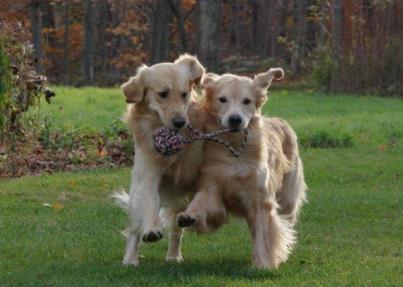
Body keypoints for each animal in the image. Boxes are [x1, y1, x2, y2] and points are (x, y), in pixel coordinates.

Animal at [113, 54, 205, 268]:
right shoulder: (148, 173)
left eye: (184, 94)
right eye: (163, 94)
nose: (180, 122)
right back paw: (131, 258)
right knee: (134, 230)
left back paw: (174, 255)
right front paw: (152, 229)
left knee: (176, 230)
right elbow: (149, 203)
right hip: (136, 195)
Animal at [177, 68, 306, 268]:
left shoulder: (260, 198)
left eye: (247, 101)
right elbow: (202, 200)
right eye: (222, 99)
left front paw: (263, 263)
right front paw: (189, 215)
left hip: (288, 198)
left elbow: (264, 231)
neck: (234, 148)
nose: (235, 119)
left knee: (284, 220)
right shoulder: (212, 183)